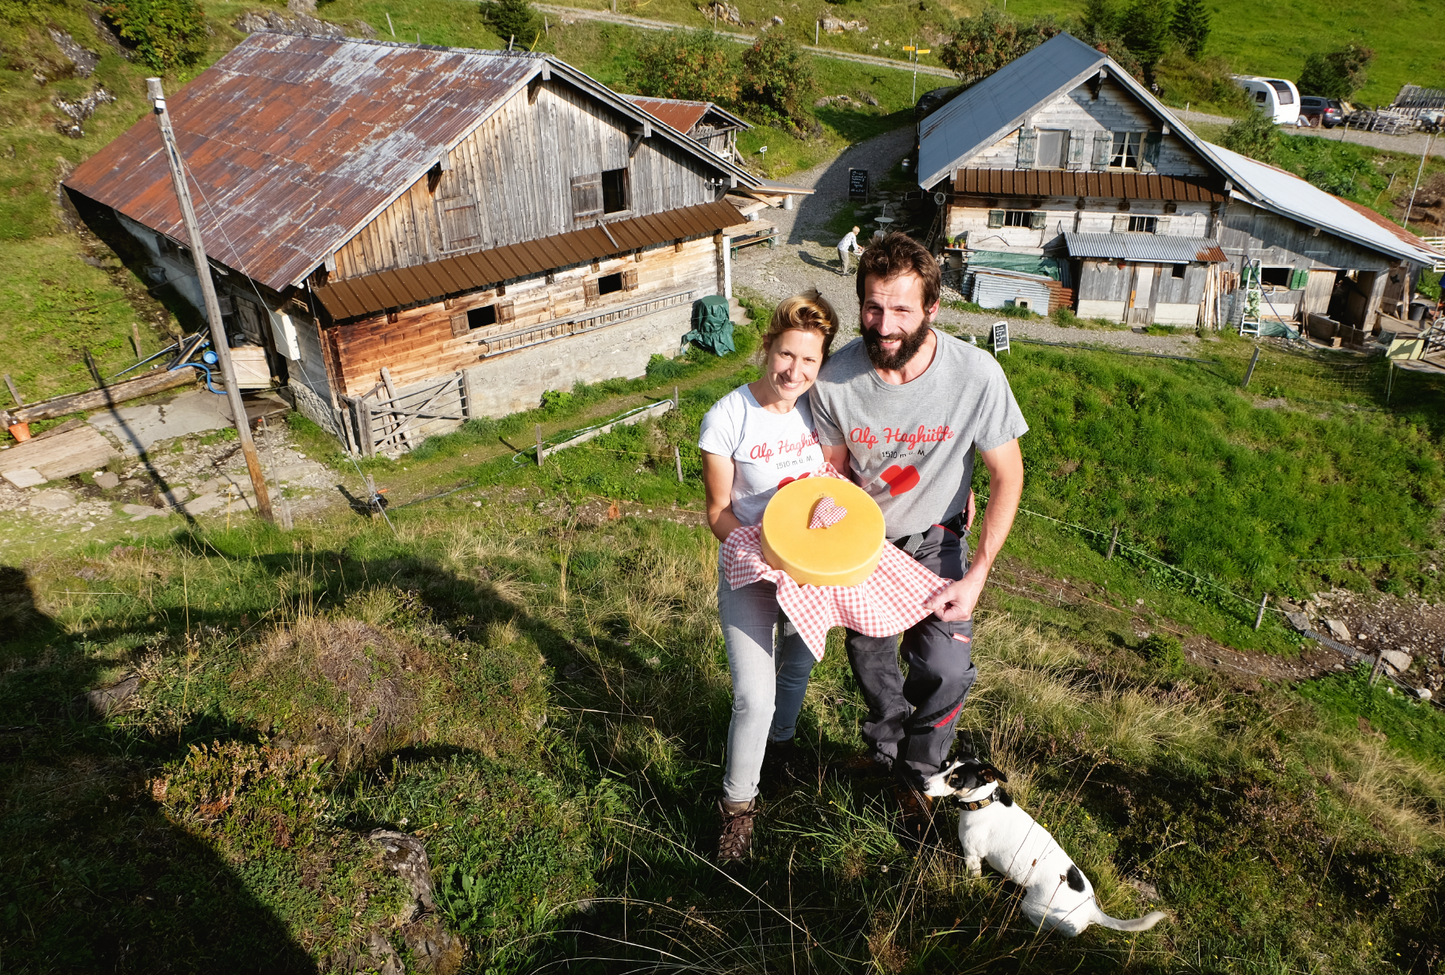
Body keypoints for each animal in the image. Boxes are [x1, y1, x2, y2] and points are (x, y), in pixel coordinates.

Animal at [919, 762, 1167, 936]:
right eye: (944, 764)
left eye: (955, 780)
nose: (923, 784)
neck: (984, 802)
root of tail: (1091, 909)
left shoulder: (972, 856)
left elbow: (971, 880)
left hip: (1031, 906)